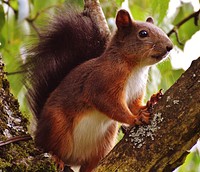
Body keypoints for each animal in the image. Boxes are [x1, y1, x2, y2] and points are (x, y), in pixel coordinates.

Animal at [24, 6, 172, 171]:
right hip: (56, 125)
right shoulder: (102, 82)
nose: (170, 47)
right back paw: (56, 158)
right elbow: (108, 104)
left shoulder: (135, 92)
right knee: (50, 146)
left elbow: (134, 106)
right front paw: (134, 119)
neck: (136, 68)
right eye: (143, 34)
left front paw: (152, 100)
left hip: (105, 141)